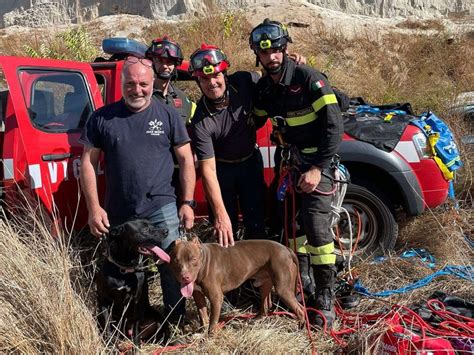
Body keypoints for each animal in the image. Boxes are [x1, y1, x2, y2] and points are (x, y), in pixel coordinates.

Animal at [168, 238, 306, 332]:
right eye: (176, 260)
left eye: (193, 259)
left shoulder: (216, 297)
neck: (204, 259)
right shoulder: (198, 296)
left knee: (300, 309)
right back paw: (256, 320)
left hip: (283, 288)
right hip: (265, 283)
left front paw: (210, 335)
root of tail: (287, 249)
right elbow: (203, 316)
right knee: (266, 305)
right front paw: (201, 333)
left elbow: (212, 321)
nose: (185, 276)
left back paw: (300, 328)